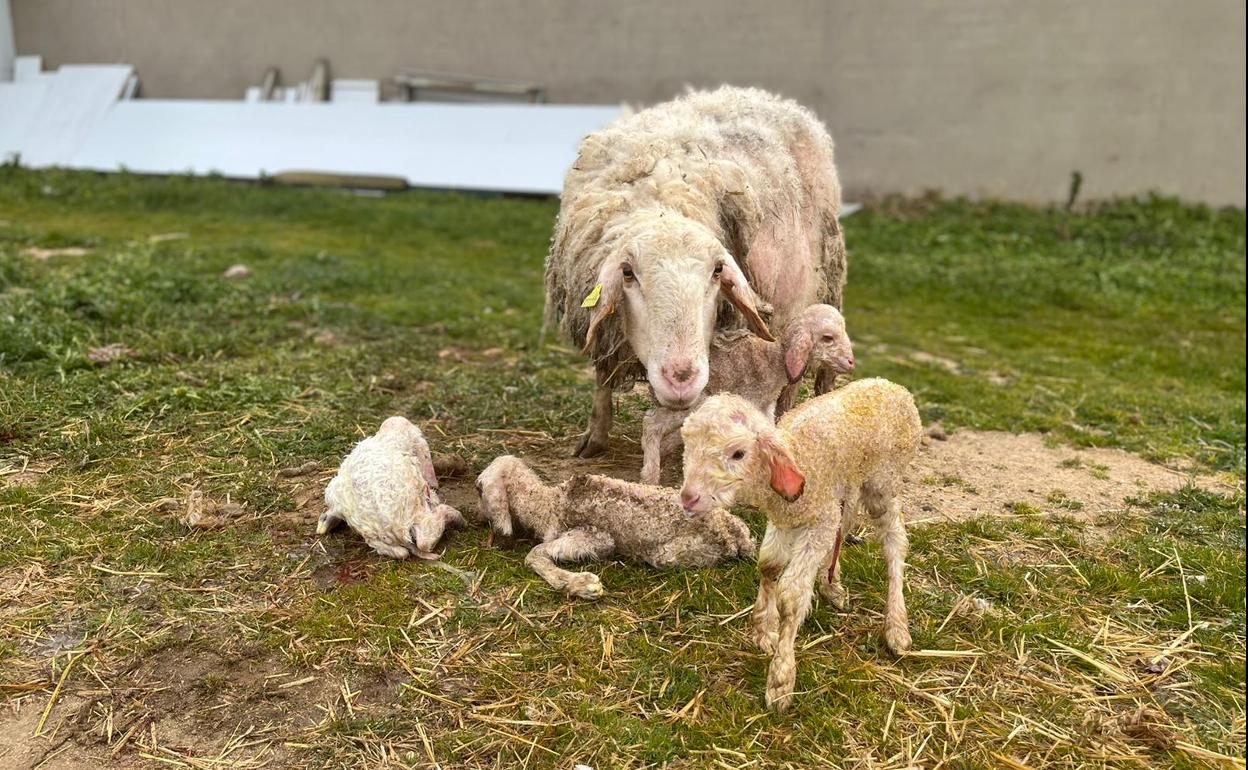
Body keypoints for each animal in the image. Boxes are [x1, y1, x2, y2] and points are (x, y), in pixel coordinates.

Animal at [316, 414, 464, 559]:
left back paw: (325, 523)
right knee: (424, 542)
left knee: (400, 552)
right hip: (416, 518)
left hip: (339, 499)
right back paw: (457, 518)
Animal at [474, 454, 748, 596]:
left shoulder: (595, 536)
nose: (479, 519)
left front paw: (584, 585)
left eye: (479, 490)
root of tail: (734, 537)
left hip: (672, 553)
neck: (546, 503)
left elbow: (535, 553)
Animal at [541, 84, 843, 456]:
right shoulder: (605, 326)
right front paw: (595, 436)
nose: (681, 379)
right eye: (627, 273)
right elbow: (603, 374)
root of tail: (758, 95)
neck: (659, 204)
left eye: (717, 271)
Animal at [638, 303, 853, 484]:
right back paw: (650, 474)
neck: (775, 360)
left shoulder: (766, 406)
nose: (851, 363)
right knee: (651, 423)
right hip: (691, 398)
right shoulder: (748, 401)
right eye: (828, 337)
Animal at [678, 379, 923, 708]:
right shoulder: (785, 520)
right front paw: (764, 630)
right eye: (687, 445)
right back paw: (831, 583)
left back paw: (896, 626)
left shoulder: (817, 522)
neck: (796, 454)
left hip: (883, 482)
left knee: (895, 540)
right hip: (849, 480)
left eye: (738, 453)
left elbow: (792, 594)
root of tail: (894, 386)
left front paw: (781, 678)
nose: (688, 498)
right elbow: (768, 565)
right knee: (846, 520)